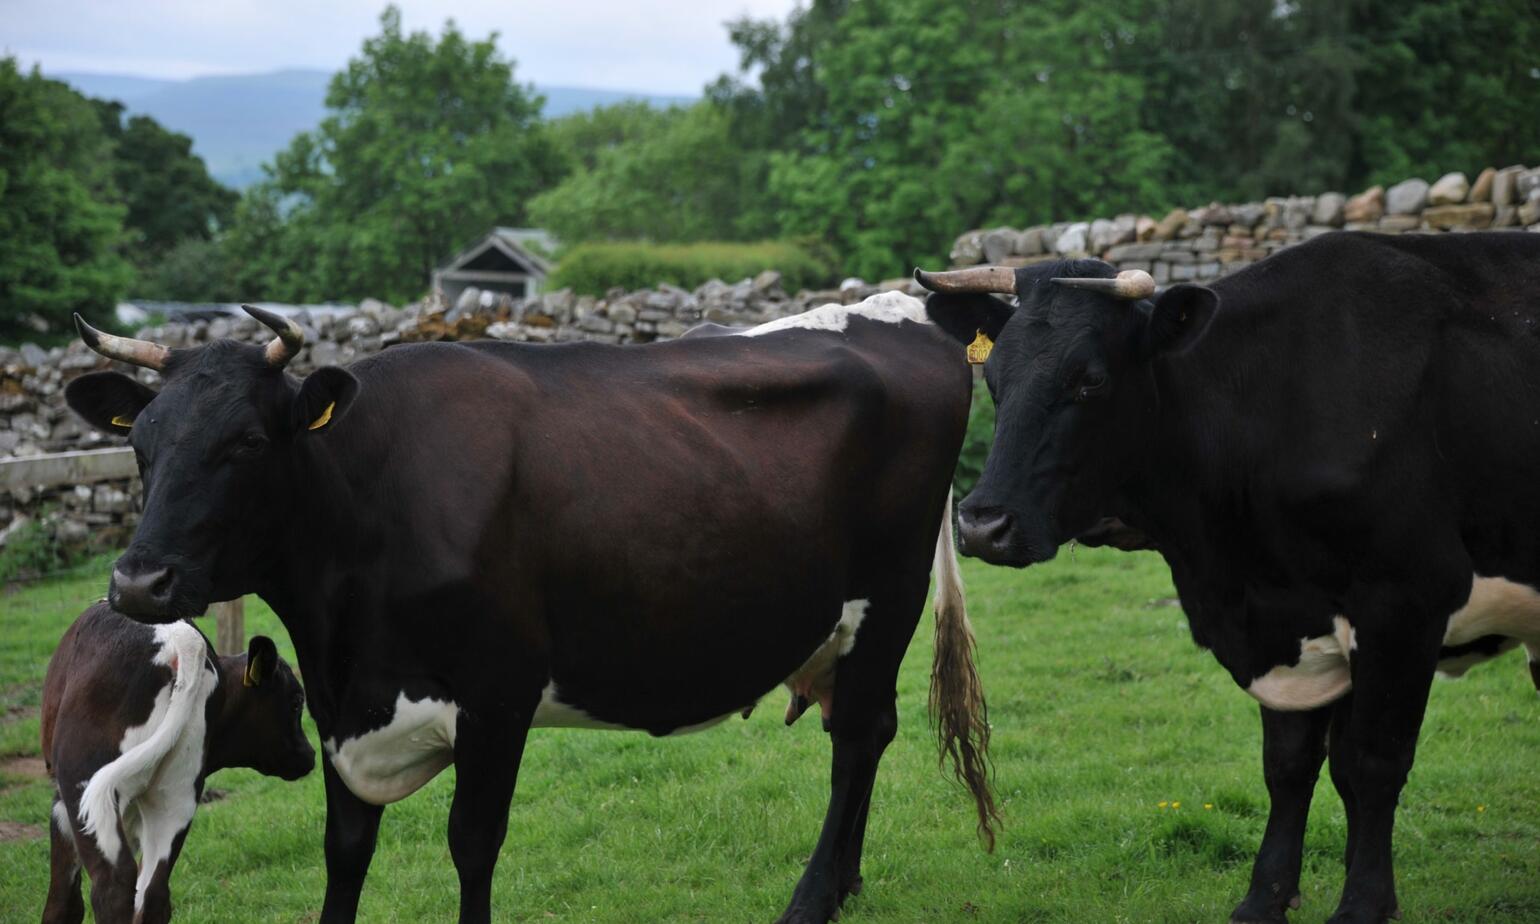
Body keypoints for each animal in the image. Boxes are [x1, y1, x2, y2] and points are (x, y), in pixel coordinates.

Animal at [41, 601, 313, 924]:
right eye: (296, 702)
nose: (310, 755)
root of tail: (183, 641)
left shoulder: (62, 805)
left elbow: (63, 902)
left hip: (85, 790)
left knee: (114, 886)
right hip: (175, 800)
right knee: (154, 895)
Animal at [916, 230, 1540, 924]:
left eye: (1091, 380)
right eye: (994, 377)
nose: (981, 524)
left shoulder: (1405, 602)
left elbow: (1373, 763)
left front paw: (1363, 902)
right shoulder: (1284, 620)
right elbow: (1291, 767)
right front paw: (1265, 896)